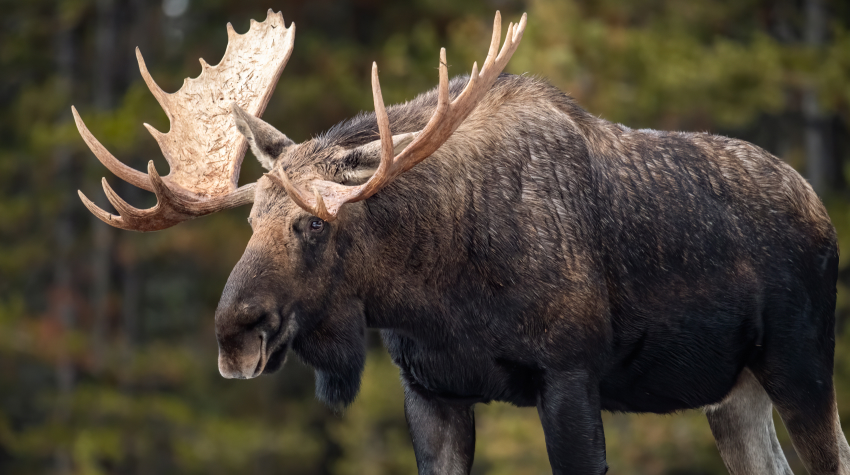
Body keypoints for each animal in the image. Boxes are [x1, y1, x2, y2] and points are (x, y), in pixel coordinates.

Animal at [73, 8, 848, 475]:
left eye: (316, 222)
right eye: (250, 219)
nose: (236, 330)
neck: (439, 291)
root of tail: (822, 211)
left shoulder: (571, 374)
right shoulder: (431, 391)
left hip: (801, 363)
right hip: (733, 392)